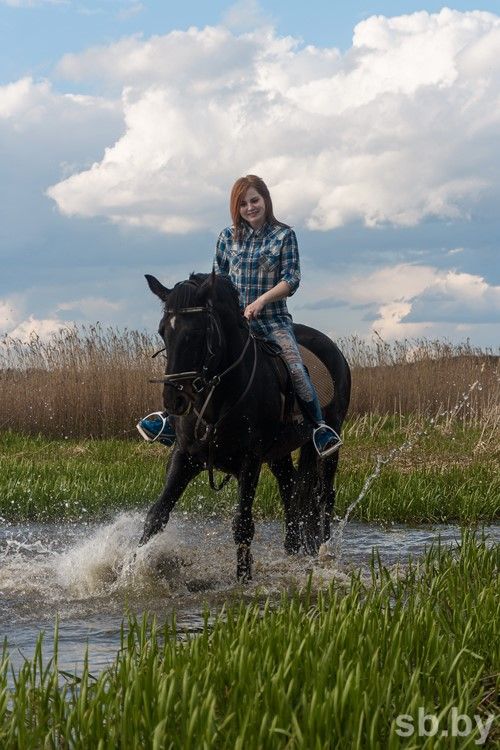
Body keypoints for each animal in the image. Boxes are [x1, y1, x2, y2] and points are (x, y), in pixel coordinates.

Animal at [140, 272, 352, 580]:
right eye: (162, 332)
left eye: (197, 333)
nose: (174, 399)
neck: (218, 398)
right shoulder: (184, 456)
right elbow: (157, 515)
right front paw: (126, 573)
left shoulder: (249, 461)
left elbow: (242, 525)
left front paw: (244, 580)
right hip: (278, 453)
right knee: (291, 491)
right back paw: (292, 551)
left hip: (327, 444)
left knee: (324, 495)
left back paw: (323, 552)